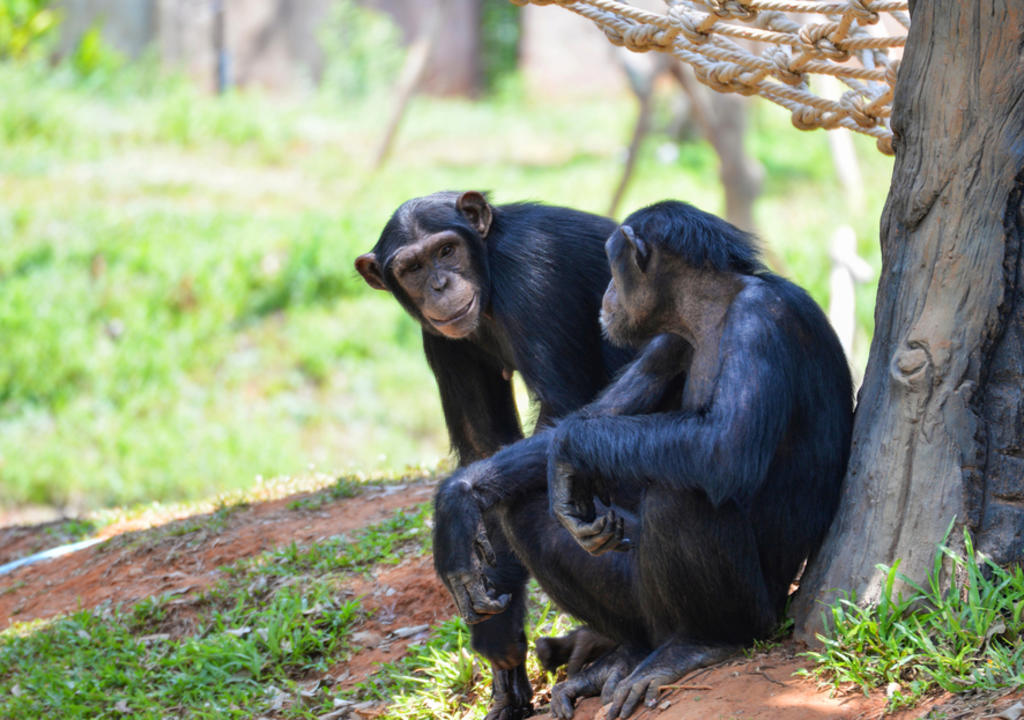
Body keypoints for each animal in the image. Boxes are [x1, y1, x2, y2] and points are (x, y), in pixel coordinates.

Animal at [356, 191, 634, 720]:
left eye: (446, 251)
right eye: (413, 267)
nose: (439, 284)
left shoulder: (533, 274)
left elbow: (563, 412)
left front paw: (457, 511)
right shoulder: (440, 340)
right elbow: (484, 442)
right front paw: (503, 655)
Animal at [434, 198, 856, 720]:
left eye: (613, 268)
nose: (607, 294)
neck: (711, 310)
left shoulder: (762, 321)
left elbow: (725, 447)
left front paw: (568, 453)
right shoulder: (664, 344)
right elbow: (602, 412)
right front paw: (458, 503)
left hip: (759, 612)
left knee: (680, 493)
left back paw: (698, 645)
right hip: (640, 604)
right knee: (523, 508)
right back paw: (619, 659)